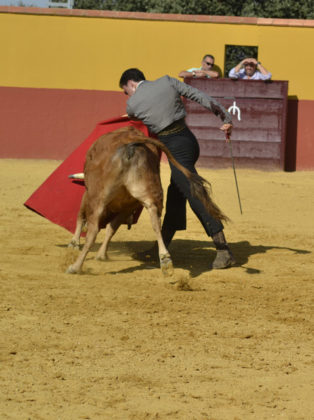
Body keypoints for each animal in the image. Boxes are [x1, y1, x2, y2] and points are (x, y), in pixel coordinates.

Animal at [67, 125, 226, 276]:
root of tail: (130, 143)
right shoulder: (128, 207)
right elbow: (112, 228)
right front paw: (101, 254)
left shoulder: (89, 195)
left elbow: (83, 217)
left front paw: (75, 244)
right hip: (149, 192)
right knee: (156, 221)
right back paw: (165, 261)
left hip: (99, 197)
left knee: (93, 231)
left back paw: (75, 267)